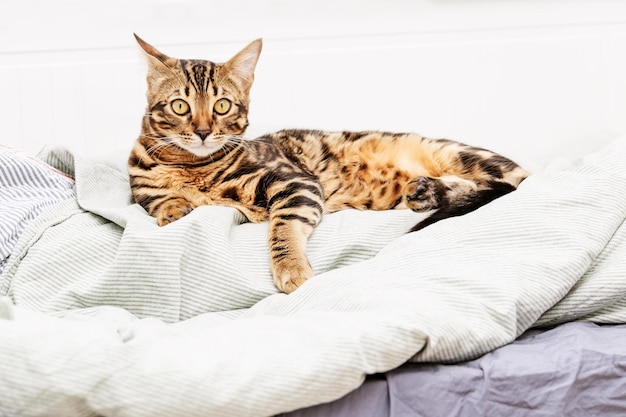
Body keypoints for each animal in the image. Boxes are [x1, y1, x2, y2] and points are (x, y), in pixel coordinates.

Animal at [127, 36, 528, 292]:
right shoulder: (142, 189)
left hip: (458, 155)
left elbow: (282, 228)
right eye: (180, 106)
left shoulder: (294, 182)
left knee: (511, 184)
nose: (203, 131)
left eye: (222, 105)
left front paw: (291, 269)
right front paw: (175, 209)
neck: (191, 167)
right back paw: (425, 191)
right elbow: (160, 202)